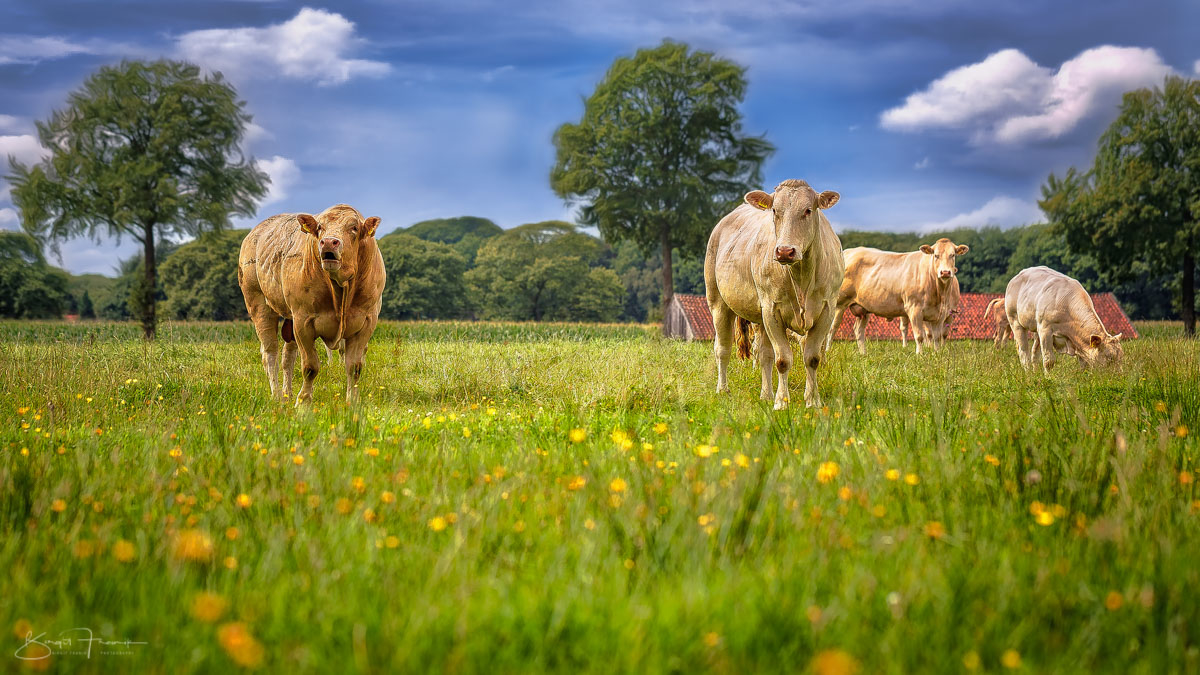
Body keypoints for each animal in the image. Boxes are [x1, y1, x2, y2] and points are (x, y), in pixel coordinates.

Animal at [238, 204, 386, 404]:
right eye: (320, 227)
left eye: (354, 227)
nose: (329, 242)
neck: (340, 289)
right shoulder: (303, 322)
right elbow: (310, 367)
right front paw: (303, 402)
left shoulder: (366, 322)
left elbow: (354, 366)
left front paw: (352, 402)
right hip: (259, 304)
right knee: (270, 353)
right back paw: (277, 396)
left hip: (289, 320)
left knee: (287, 356)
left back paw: (287, 394)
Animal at [705, 179, 844, 410]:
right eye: (775, 210)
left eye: (808, 210)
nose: (785, 251)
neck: (801, 277)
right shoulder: (772, 309)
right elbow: (783, 360)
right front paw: (782, 402)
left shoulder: (826, 310)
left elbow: (812, 358)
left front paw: (812, 400)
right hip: (718, 302)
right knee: (722, 349)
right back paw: (723, 389)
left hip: (760, 317)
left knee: (764, 354)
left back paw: (766, 394)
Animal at [826, 238, 968, 355]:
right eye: (936, 255)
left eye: (953, 255)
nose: (945, 272)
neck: (939, 293)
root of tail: (848, 251)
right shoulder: (914, 309)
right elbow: (919, 336)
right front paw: (920, 355)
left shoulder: (941, 313)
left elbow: (937, 337)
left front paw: (937, 354)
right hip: (839, 303)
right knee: (832, 328)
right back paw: (827, 351)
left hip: (863, 308)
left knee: (858, 330)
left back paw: (863, 354)